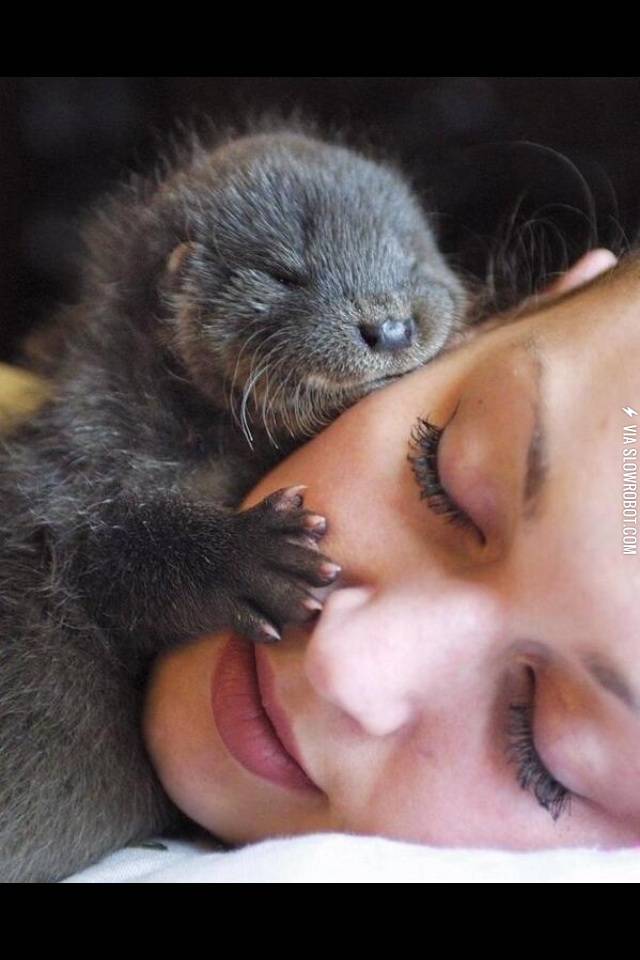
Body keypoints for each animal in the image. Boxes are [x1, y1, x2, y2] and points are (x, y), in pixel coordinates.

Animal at [0, 125, 468, 882]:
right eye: (285, 273)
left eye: (410, 255)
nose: (390, 326)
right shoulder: (73, 476)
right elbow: (111, 554)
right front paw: (252, 557)